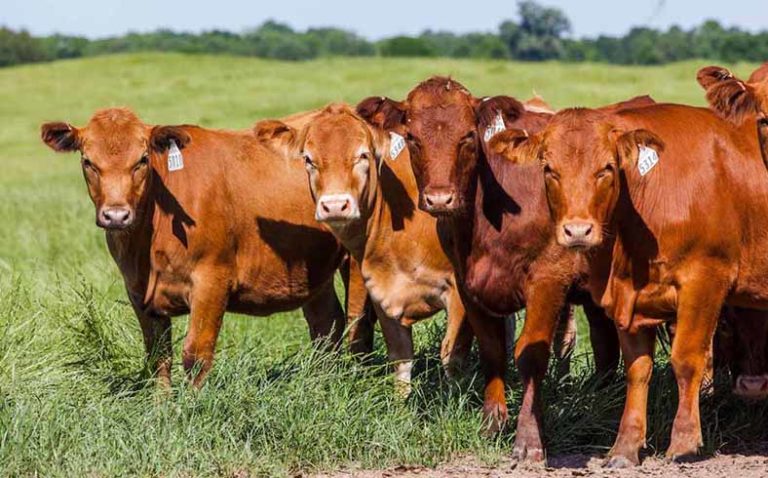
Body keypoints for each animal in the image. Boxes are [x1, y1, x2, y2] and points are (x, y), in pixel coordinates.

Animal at [40, 107, 374, 388]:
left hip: (355, 263)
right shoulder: (137, 292)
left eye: (142, 160)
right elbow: (158, 357)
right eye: (87, 161)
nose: (116, 214)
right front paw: (161, 408)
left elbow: (196, 354)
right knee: (327, 325)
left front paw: (190, 409)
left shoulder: (212, 280)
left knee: (358, 327)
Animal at [254, 104, 474, 392]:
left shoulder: (459, 295)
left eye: (363, 155)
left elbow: (452, 357)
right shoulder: (382, 291)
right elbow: (401, 360)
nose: (335, 205)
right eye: (308, 159)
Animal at [354, 78, 656, 464]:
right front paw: (492, 424)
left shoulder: (548, 281)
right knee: (605, 345)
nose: (440, 198)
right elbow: (492, 349)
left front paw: (528, 439)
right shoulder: (468, 285)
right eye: (412, 137)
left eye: (469, 136)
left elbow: (530, 355)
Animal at [492, 102, 768, 466]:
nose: (578, 230)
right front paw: (625, 446)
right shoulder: (629, 300)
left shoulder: (706, 278)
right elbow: (637, 370)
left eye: (606, 168)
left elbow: (686, 359)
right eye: (549, 169)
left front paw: (684, 442)